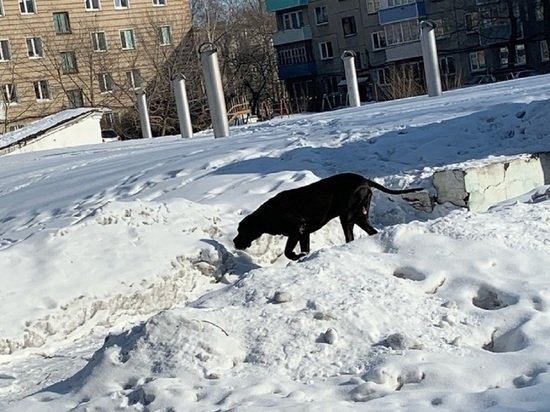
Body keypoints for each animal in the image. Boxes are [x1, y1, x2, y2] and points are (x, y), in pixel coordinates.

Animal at [235, 174, 424, 260]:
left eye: (241, 231)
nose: (235, 242)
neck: (268, 215)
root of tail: (365, 180)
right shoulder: (304, 233)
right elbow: (305, 248)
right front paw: (303, 256)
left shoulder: (298, 227)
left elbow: (288, 251)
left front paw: (296, 256)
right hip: (358, 216)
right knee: (371, 232)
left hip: (347, 217)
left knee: (350, 237)